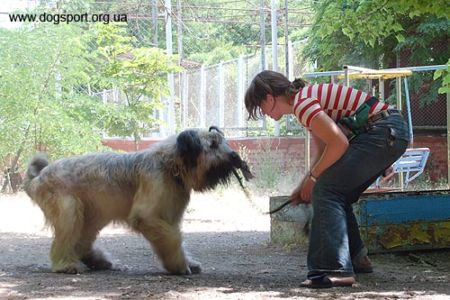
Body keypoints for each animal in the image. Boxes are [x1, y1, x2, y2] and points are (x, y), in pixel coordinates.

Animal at [24, 126, 253, 274]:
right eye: (213, 144)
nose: (235, 157)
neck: (170, 164)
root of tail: (38, 177)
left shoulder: (169, 214)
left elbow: (174, 236)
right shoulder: (149, 213)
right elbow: (172, 238)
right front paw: (178, 266)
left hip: (92, 214)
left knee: (81, 240)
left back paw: (95, 260)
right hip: (69, 208)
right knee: (66, 237)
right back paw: (65, 264)